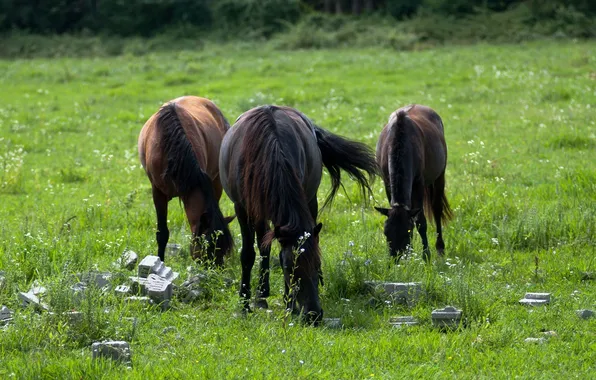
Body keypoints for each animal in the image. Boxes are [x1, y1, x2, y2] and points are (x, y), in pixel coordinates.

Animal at [219, 105, 378, 326]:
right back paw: (261, 297)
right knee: (262, 245)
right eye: (288, 267)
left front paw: (290, 306)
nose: (313, 315)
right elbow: (248, 255)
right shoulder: (242, 208)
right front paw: (244, 305)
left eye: (317, 264)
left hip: (309, 200)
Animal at [374, 105, 454, 262]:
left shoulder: (418, 185)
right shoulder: (387, 183)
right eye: (386, 233)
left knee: (437, 209)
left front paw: (426, 255)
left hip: (439, 176)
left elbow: (421, 221)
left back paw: (440, 248)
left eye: (408, 232)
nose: (396, 259)